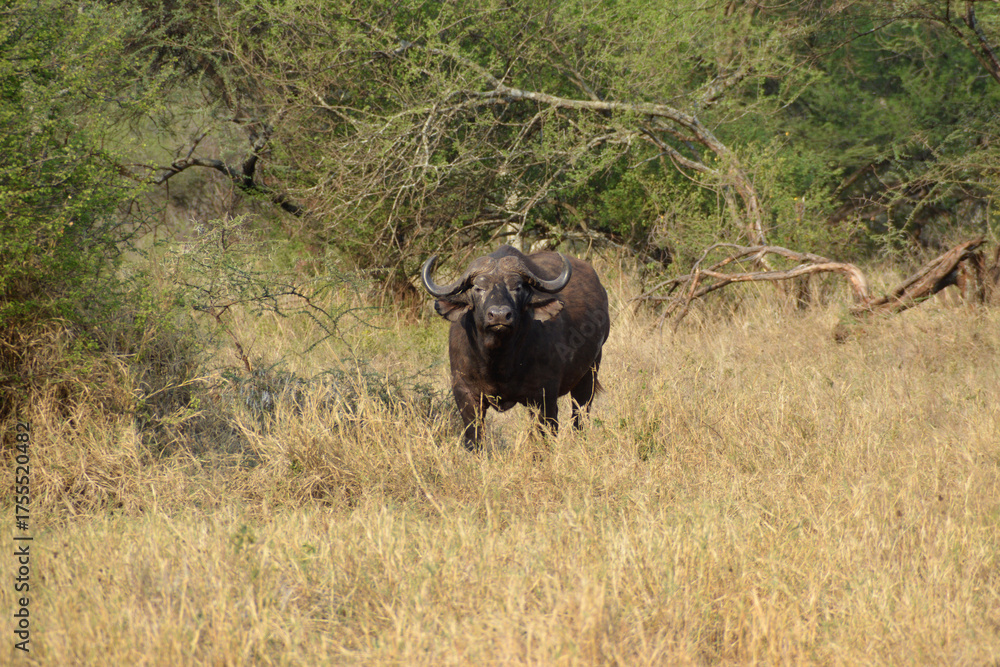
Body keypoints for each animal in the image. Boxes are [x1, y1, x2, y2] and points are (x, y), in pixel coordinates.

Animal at [421, 245, 610, 450]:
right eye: (478, 288)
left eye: (517, 287)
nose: (499, 315)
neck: (497, 359)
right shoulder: (465, 393)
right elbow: (474, 437)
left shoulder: (544, 397)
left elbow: (545, 435)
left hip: (589, 373)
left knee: (580, 415)